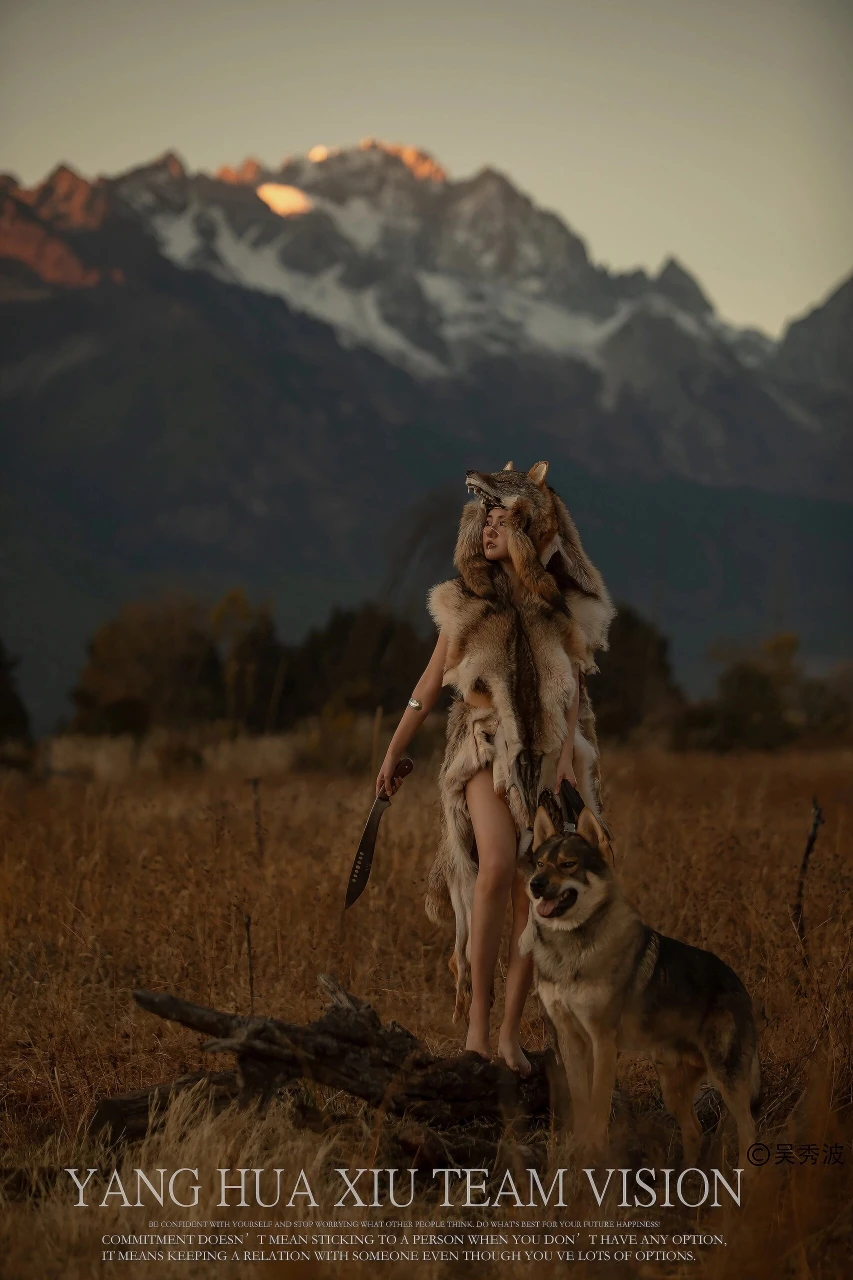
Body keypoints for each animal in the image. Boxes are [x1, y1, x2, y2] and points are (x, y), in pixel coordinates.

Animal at [519, 800, 760, 1166]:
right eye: (540, 863)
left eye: (568, 864)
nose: (535, 884)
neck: (569, 950)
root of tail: (739, 983)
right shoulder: (570, 1038)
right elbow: (582, 1102)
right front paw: (579, 1151)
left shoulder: (603, 1040)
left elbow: (598, 1107)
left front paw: (593, 1155)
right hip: (672, 1086)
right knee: (694, 1130)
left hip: (726, 1077)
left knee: (748, 1131)